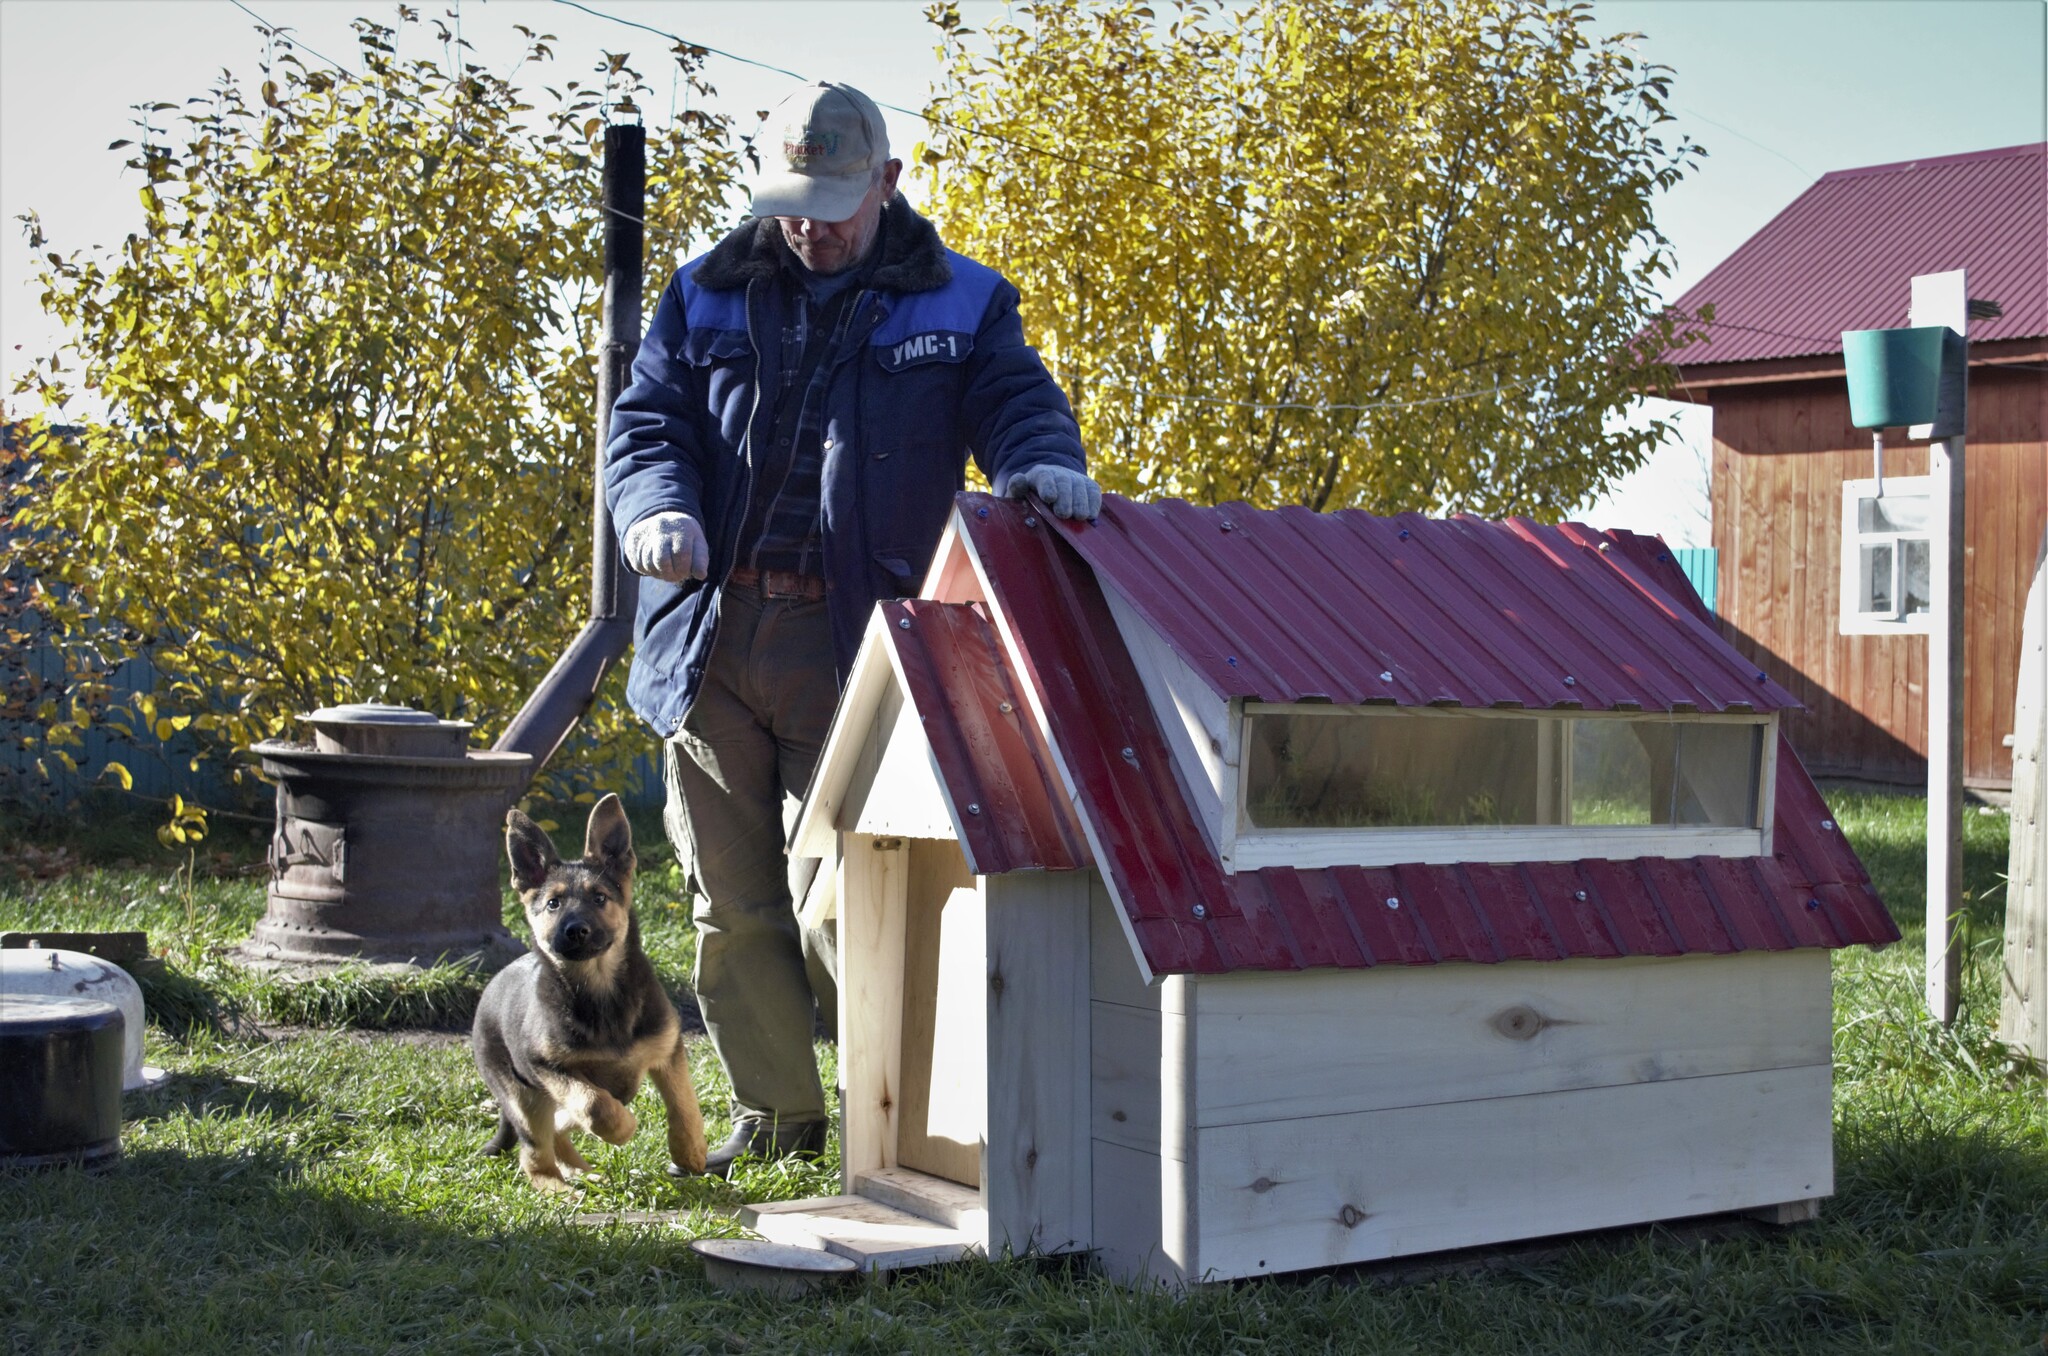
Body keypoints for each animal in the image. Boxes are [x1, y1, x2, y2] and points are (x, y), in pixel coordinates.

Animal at [473, 790, 712, 1196]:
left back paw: (584, 1174)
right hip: (524, 1096)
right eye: (553, 903)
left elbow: (683, 1102)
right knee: (535, 1153)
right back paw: (560, 1189)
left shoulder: (667, 1051)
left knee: (558, 1127)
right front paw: (623, 1129)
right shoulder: (548, 1067)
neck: (601, 991)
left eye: (599, 898)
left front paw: (691, 1151)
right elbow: (593, 1106)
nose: (576, 930)